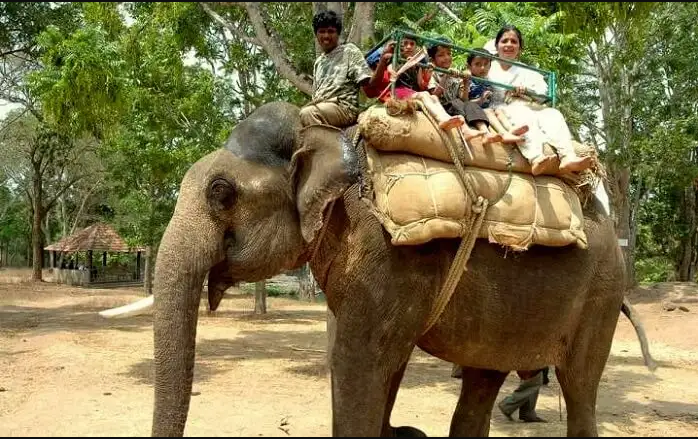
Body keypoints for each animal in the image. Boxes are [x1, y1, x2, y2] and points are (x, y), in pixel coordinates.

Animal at [102, 101, 652, 438]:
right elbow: (377, 361)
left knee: (579, 386)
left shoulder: (387, 258)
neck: (325, 138)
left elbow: (359, 360)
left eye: (221, 193)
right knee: (483, 376)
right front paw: (402, 431)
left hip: (601, 294)